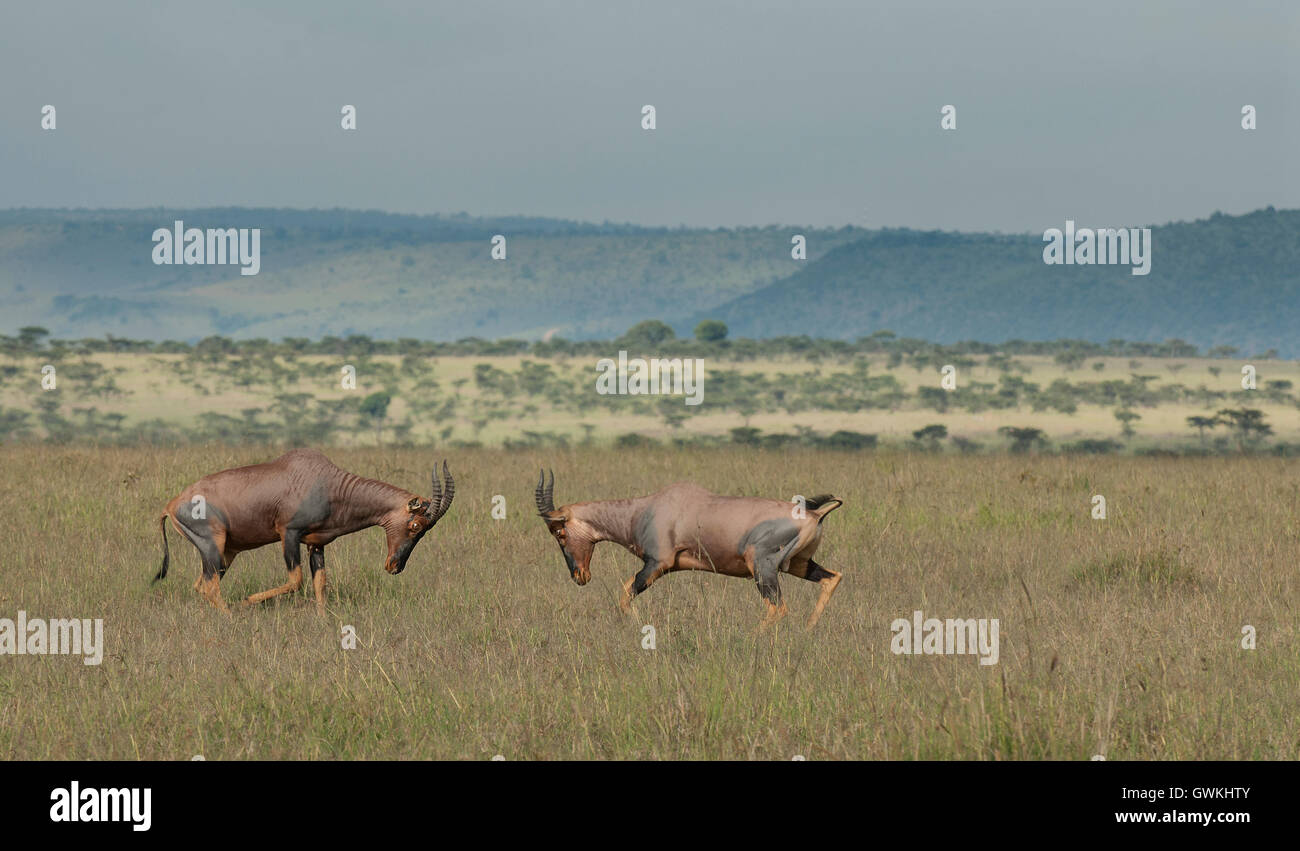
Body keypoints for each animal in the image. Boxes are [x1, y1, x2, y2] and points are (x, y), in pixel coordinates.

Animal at [154, 449, 454, 613]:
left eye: (425, 531)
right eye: (415, 525)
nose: (394, 566)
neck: (326, 482)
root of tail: (171, 505)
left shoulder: (316, 543)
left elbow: (320, 584)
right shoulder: (289, 533)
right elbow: (296, 580)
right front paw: (248, 601)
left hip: (226, 553)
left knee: (201, 585)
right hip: (212, 546)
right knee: (211, 587)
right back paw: (232, 614)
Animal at [534, 471, 844, 628]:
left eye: (559, 532)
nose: (579, 576)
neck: (646, 509)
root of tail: (815, 514)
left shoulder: (656, 563)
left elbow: (625, 594)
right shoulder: (666, 567)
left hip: (762, 568)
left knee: (778, 608)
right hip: (799, 564)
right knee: (832, 578)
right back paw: (807, 630)